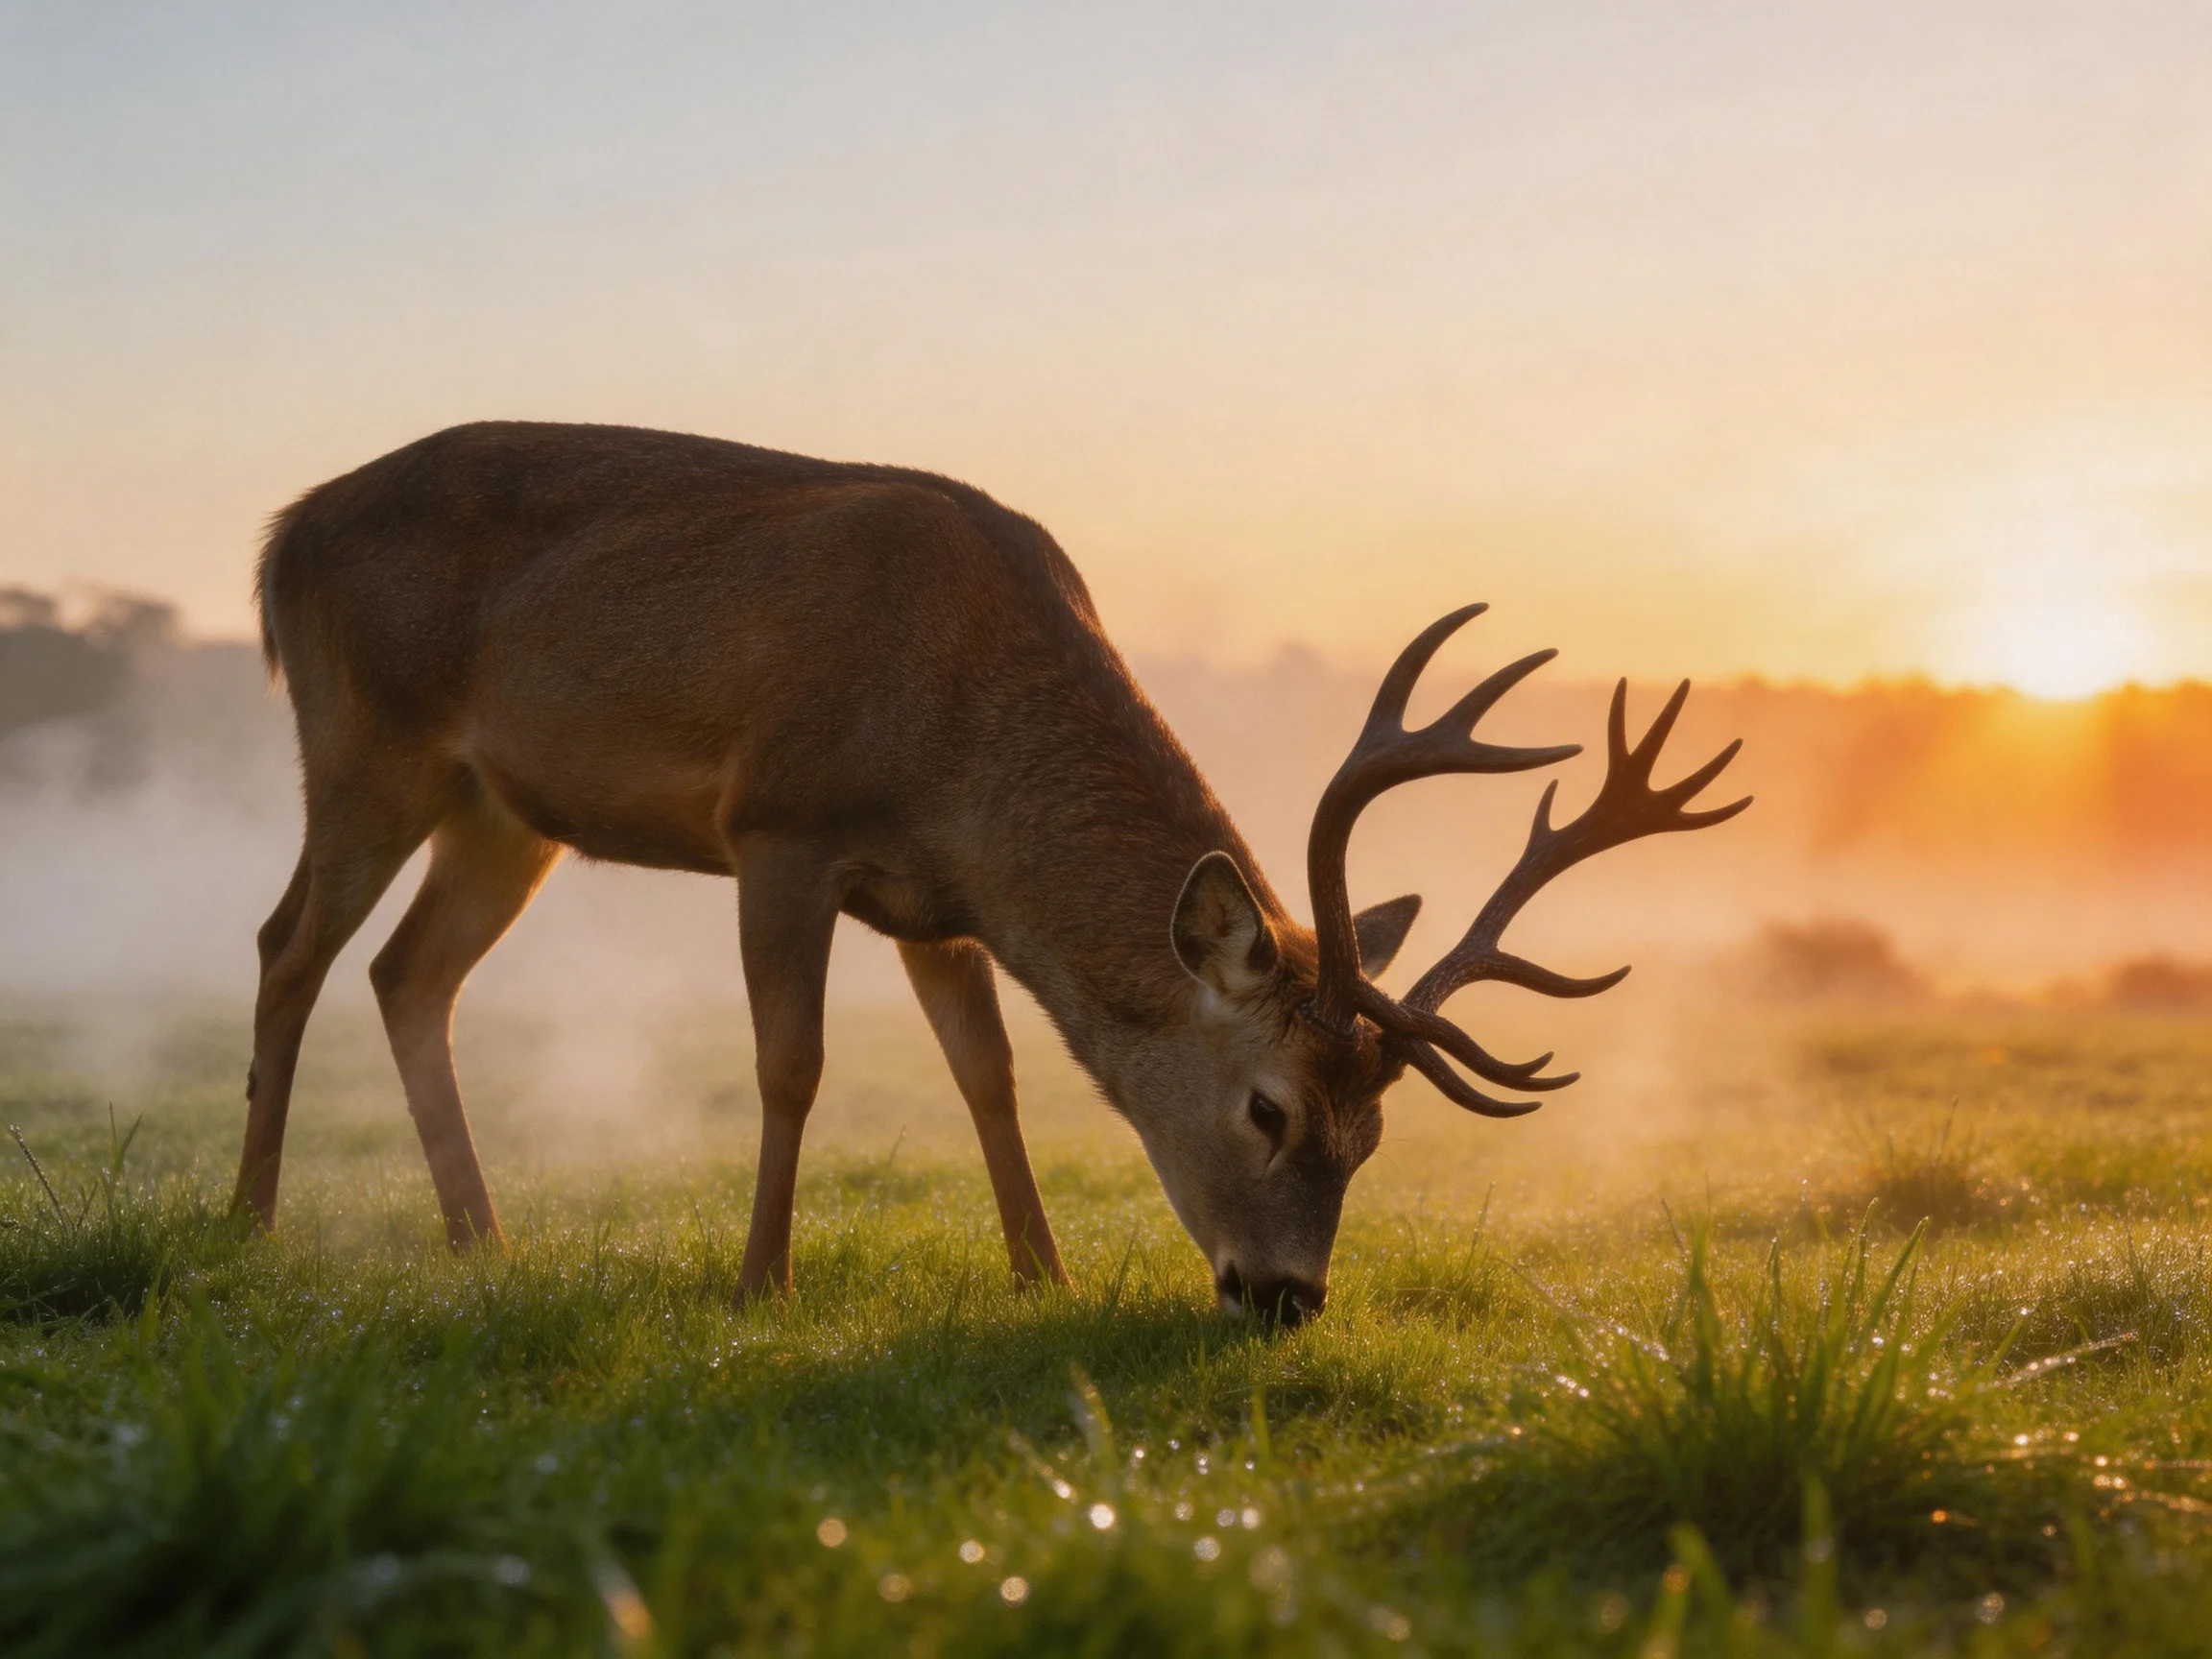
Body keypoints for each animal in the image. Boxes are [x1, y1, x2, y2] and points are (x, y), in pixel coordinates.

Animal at [240, 421, 1747, 1323]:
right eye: (1266, 1109)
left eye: (1374, 1135)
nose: (1284, 1298)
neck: (961, 747)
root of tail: (280, 536)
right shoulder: (781, 823)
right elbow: (792, 1065)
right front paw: (762, 1282)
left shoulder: (935, 905)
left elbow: (992, 1074)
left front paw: (1044, 1272)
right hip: (366, 738)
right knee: (288, 946)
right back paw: (251, 1217)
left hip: (505, 810)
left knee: (406, 972)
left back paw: (479, 1239)